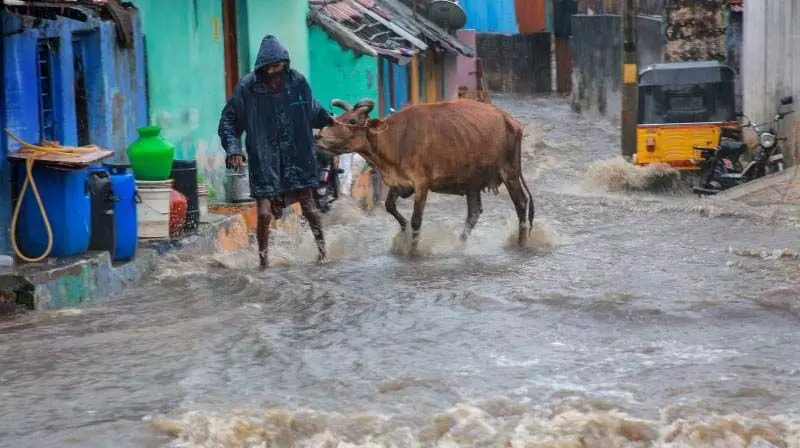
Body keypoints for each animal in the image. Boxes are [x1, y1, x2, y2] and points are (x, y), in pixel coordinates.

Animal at [316, 97, 536, 252]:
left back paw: (521, 242)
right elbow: (389, 206)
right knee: (473, 213)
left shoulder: (422, 184)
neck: (394, 139)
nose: (318, 135)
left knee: (521, 203)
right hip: (472, 183)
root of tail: (510, 120)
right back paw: (460, 245)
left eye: (352, 120)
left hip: (510, 173)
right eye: (338, 118)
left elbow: (416, 220)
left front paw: (413, 251)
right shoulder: (399, 183)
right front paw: (403, 232)